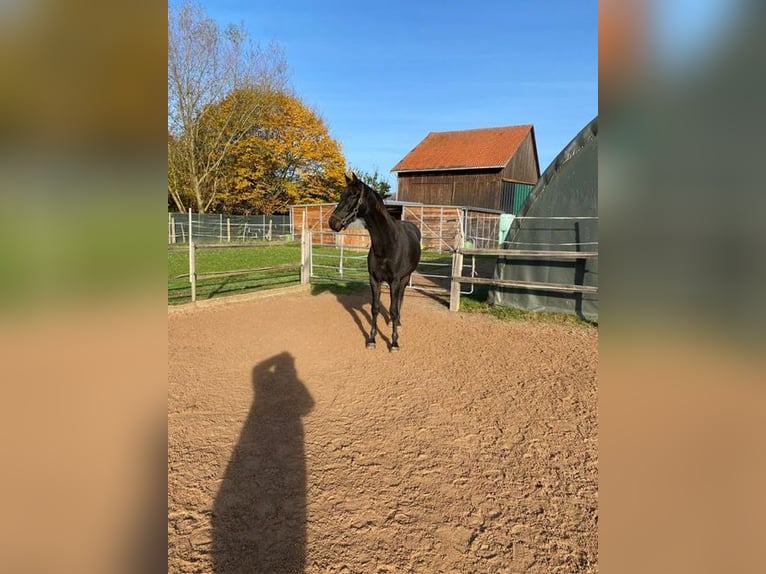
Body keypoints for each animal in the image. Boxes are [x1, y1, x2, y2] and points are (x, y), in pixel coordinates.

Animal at [328, 172, 424, 352]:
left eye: (354, 195)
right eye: (342, 195)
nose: (333, 222)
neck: (387, 244)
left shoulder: (395, 281)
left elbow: (392, 309)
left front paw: (394, 342)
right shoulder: (374, 279)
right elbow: (375, 309)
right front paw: (372, 339)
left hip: (405, 278)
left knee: (399, 299)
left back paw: (398, 322)